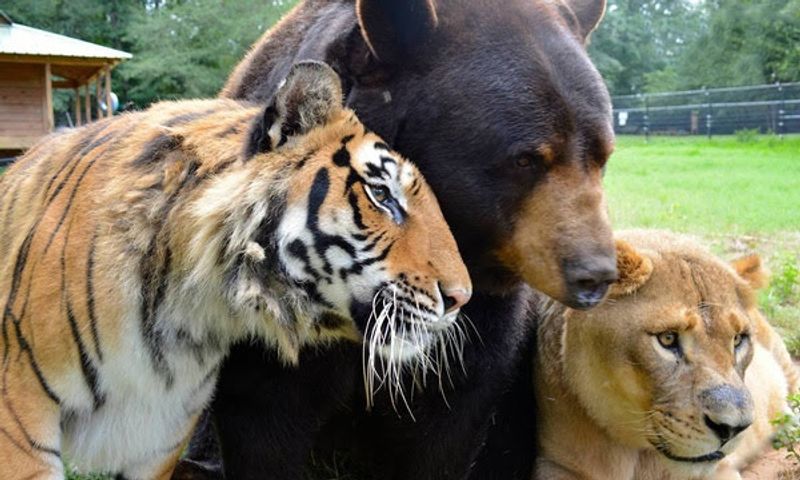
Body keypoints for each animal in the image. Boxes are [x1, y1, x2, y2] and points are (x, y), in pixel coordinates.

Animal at [533, 230, 799, 480]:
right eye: (668, 338)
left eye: (737, 340)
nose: (733, 429)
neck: (636, 455)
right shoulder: (552, 464)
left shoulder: (720, 470)